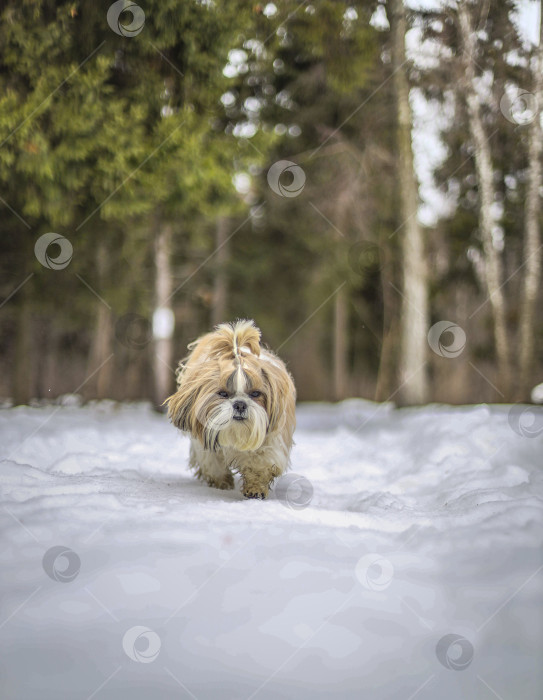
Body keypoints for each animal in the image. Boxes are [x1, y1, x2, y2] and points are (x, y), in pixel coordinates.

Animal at [167, 320, 298, 500]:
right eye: (223, 393)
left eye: (255, 394)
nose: (240, 404)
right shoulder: (205, 443)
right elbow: (213, 463)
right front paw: (220, 482)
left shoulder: (271, 441)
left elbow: (260, 463)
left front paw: (255, 488)